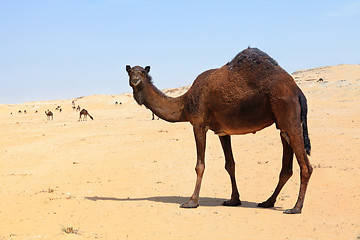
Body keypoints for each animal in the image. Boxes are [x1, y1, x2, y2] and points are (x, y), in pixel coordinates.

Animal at [126, 47, 312, 214]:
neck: (184, 104)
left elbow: (200, 165)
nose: (136, 80)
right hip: (282, 124)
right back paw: (267, 202)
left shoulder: (198, 124)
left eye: (142, 72)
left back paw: (296, 208)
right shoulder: (223, 131)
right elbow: (230, 164)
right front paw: (233, 200)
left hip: (288, 113)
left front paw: (191, 202)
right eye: (130, 72)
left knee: (306, 166)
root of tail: (298, 91)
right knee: (286, 165)